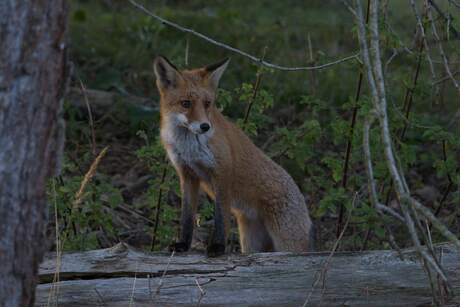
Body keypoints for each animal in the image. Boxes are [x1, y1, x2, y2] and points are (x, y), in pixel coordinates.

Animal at [154, 56, 312, 258]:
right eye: (186, 103)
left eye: (207, 103)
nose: (205, 126)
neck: (189, 146)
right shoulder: (187, 175)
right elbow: (187, 217)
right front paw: (183, 244)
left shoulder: (222, 173)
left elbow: (221, 217)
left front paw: (218, 247)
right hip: (250, 244)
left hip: (288, 244)